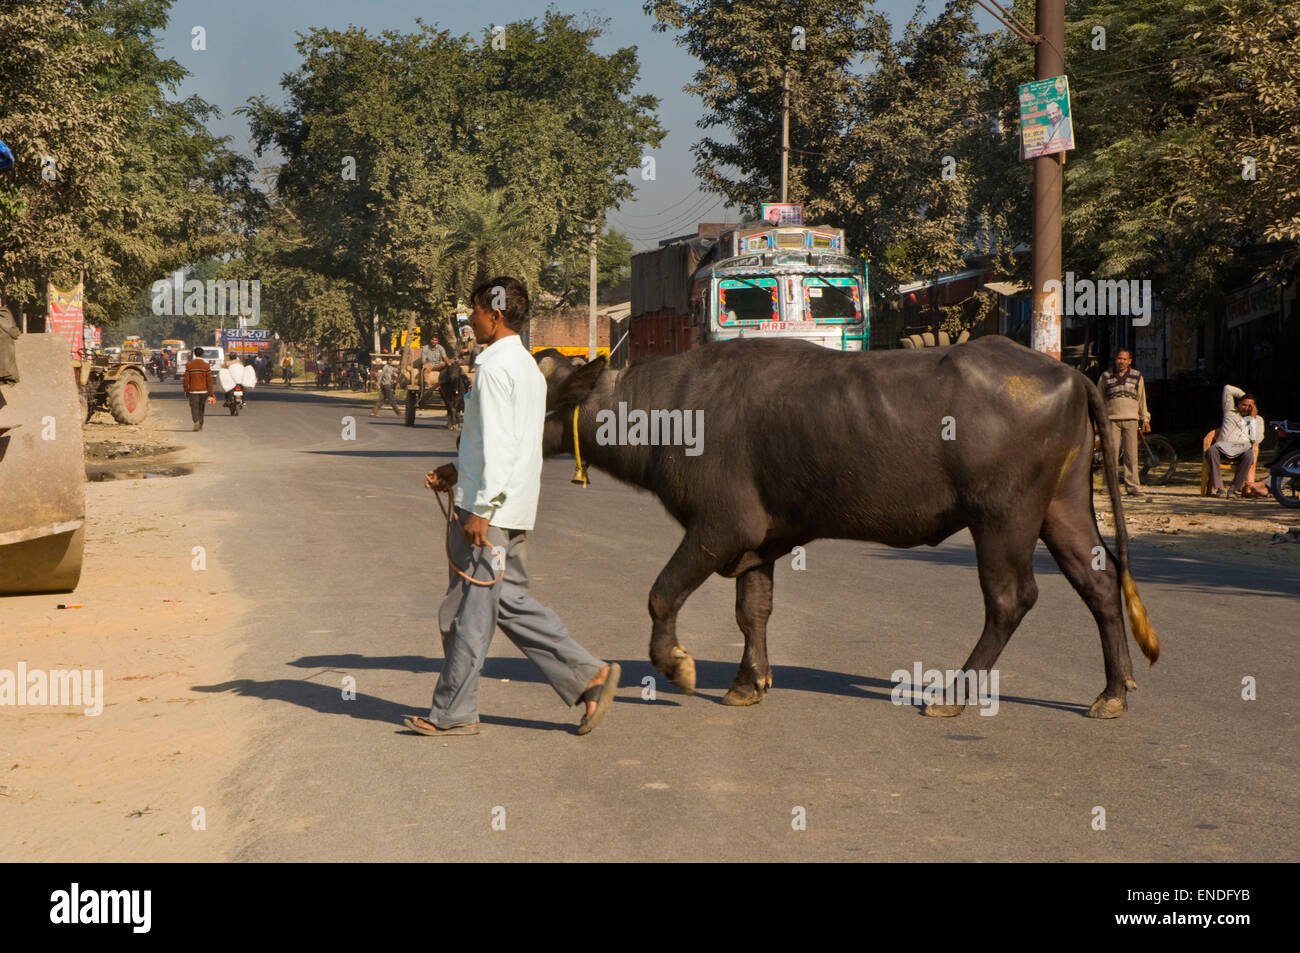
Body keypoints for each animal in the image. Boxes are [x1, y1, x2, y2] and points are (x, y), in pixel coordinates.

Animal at [538, 338, 1159, 717]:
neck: (672, 411)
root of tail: (1071, 374)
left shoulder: (720, 529)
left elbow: (662, 593)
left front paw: (678, 666)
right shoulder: (759, 541)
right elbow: (752, 611)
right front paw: (747, 684)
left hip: (1003, 517)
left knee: (1011, 599)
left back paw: (954, 694)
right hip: (1063, 504)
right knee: (1099, 582)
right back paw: (1113, 691)